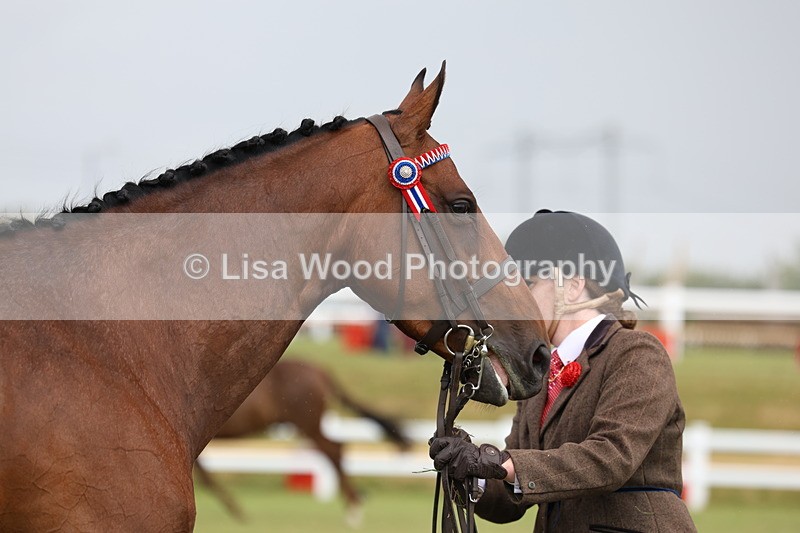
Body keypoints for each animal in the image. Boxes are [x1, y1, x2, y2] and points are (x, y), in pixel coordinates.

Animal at [194, 359, 412, 522]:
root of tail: (320, 370)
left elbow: (205, 477)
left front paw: (236, 511)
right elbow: (204, 474)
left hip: (308, 423)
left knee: (333, 449)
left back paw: (353, 506)